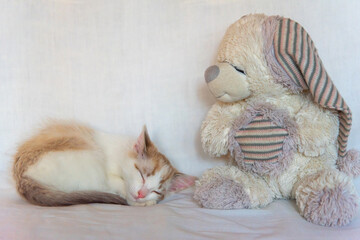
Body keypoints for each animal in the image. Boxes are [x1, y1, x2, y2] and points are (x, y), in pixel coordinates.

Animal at [12, 122, 195, 206]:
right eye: (141, 174)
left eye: (156, 191)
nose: (141, 194)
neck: (122, 154)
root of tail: (22, 178)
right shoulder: (108, 173)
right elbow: (119, 184)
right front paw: (138, 200)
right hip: (91, 158)